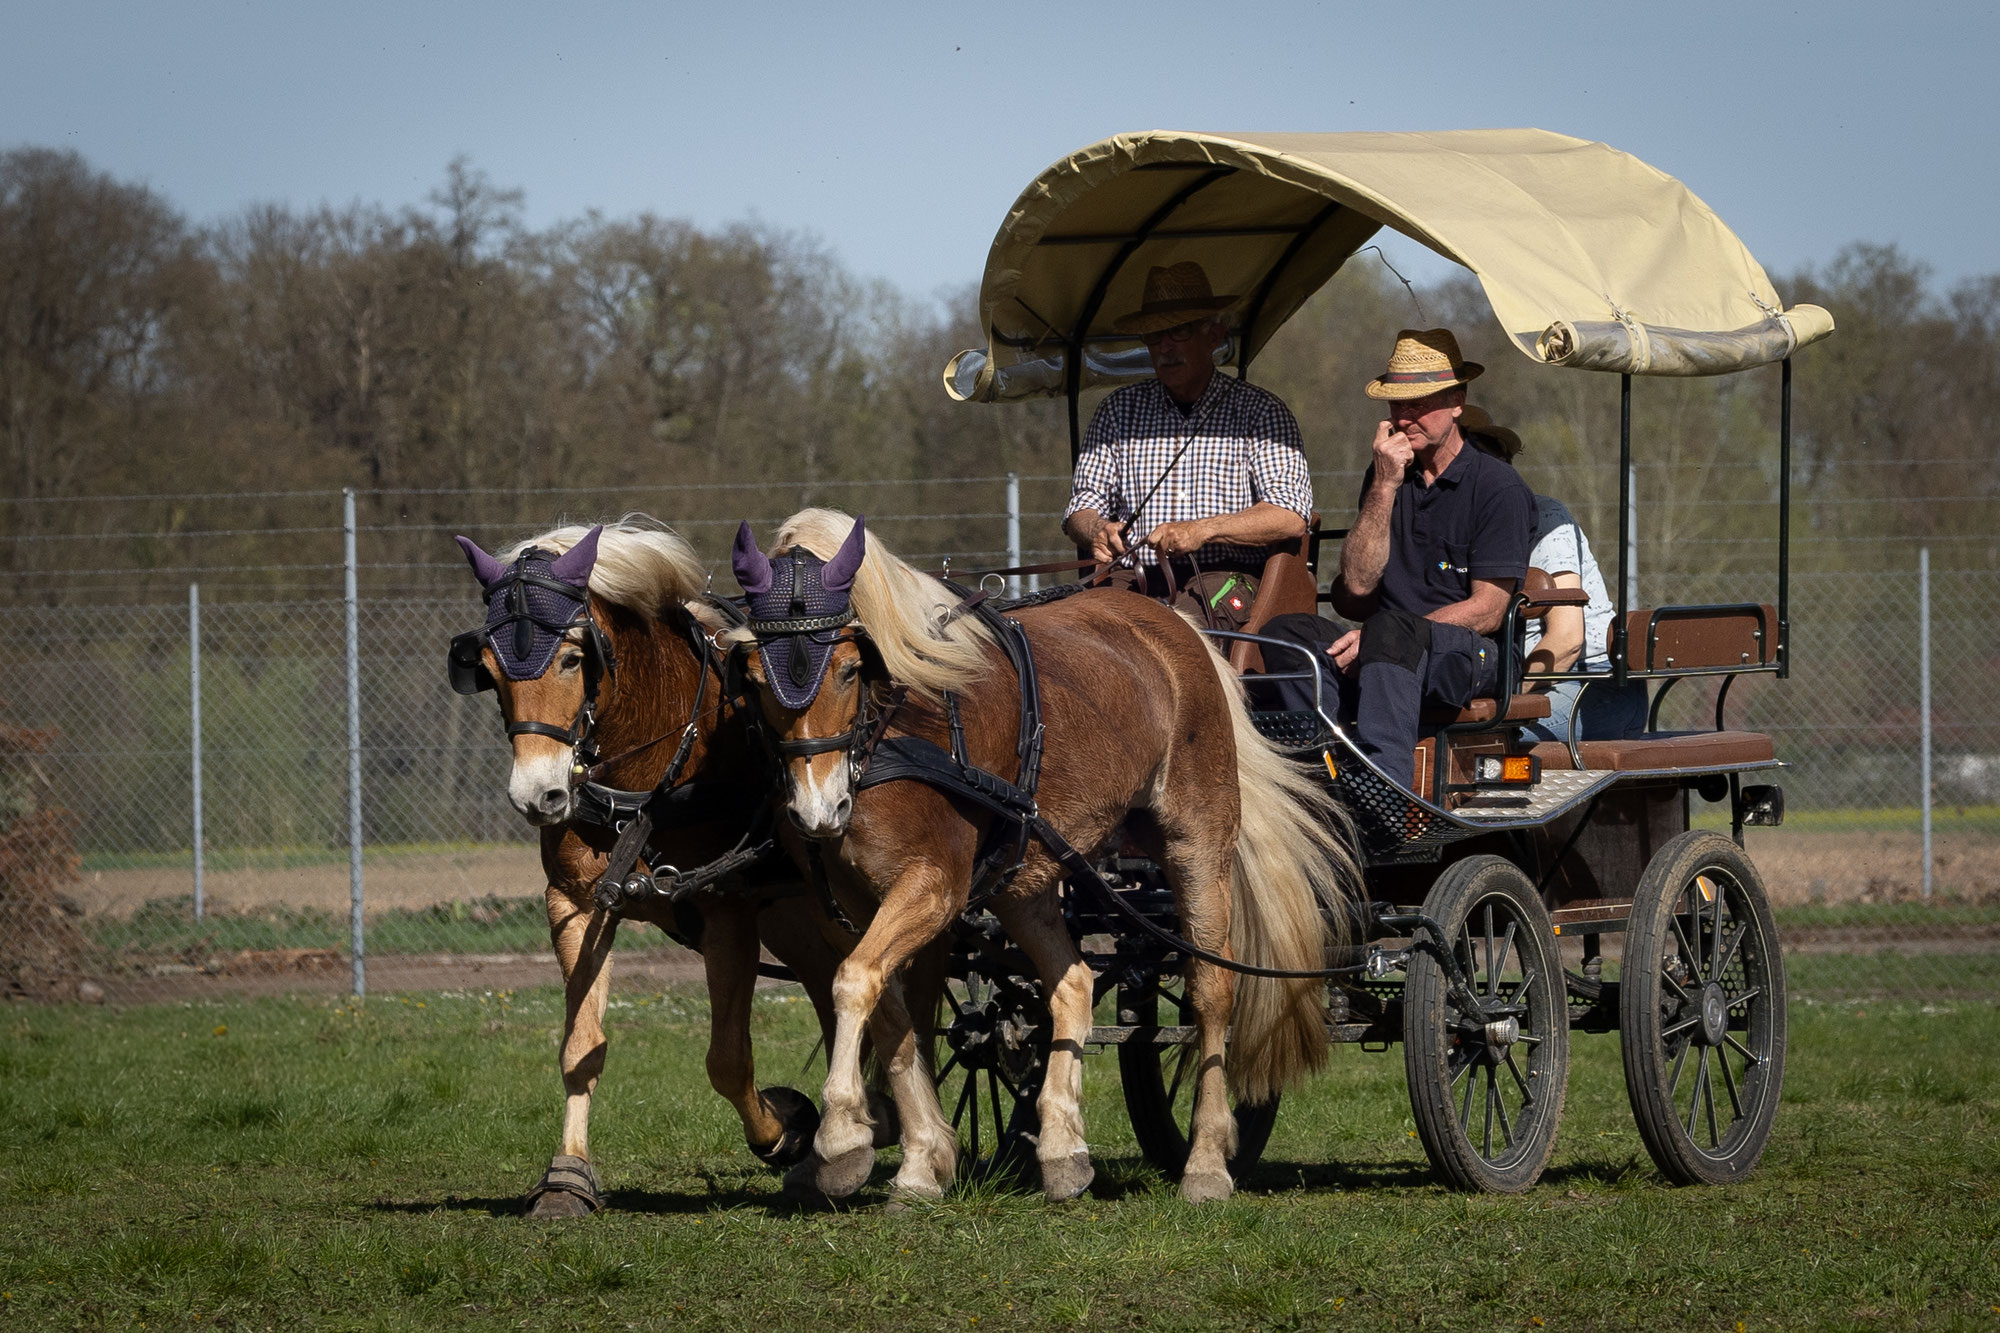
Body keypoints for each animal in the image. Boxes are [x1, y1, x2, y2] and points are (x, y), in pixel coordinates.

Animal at [450, 520, 864, 1216]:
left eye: (571, 658)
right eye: (489, 668)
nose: (539, 795)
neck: (652, 782)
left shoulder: (727, 910)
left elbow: (728, 1059)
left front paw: (783, 1131)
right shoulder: (578, 903)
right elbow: (580, 1048)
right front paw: (567, 1176)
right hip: (797, 921)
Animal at [728, 508, 1368, 1200]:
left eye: (848, 668)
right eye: (755, 678)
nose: (818, 809)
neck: (897, 731)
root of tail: (1182, 630)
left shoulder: (934, 886)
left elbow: (855, 983)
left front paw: (844, 1136)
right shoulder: (842, 903)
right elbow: (888, 1006)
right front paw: (918, 1158)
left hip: (1196, 839)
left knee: (1211, 991)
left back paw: (1204, 1161)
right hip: (1025, 876)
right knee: (1073, 984)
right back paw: (1063, 1149)